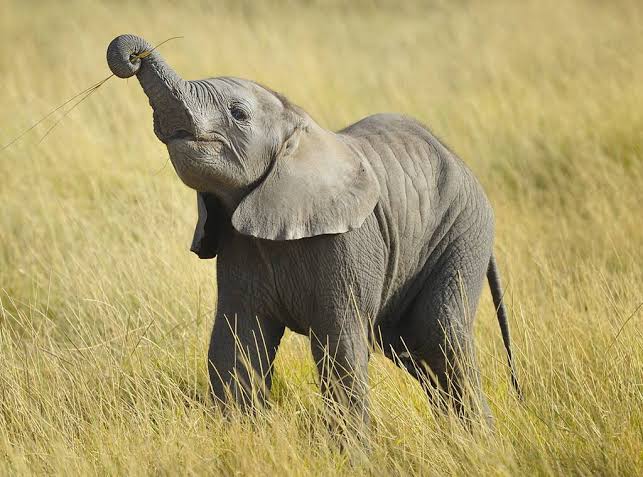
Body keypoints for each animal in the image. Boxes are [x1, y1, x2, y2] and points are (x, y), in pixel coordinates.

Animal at [106, 34, 520, 430]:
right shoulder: (239, 247)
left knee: (440, 334)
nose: (134, 57)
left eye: (238, 114)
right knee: (411, 348)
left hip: (462, 233)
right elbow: (235, 344)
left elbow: (339, 348)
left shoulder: (347, 246)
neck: (300, 128)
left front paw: (352, 453)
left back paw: (479, 441)